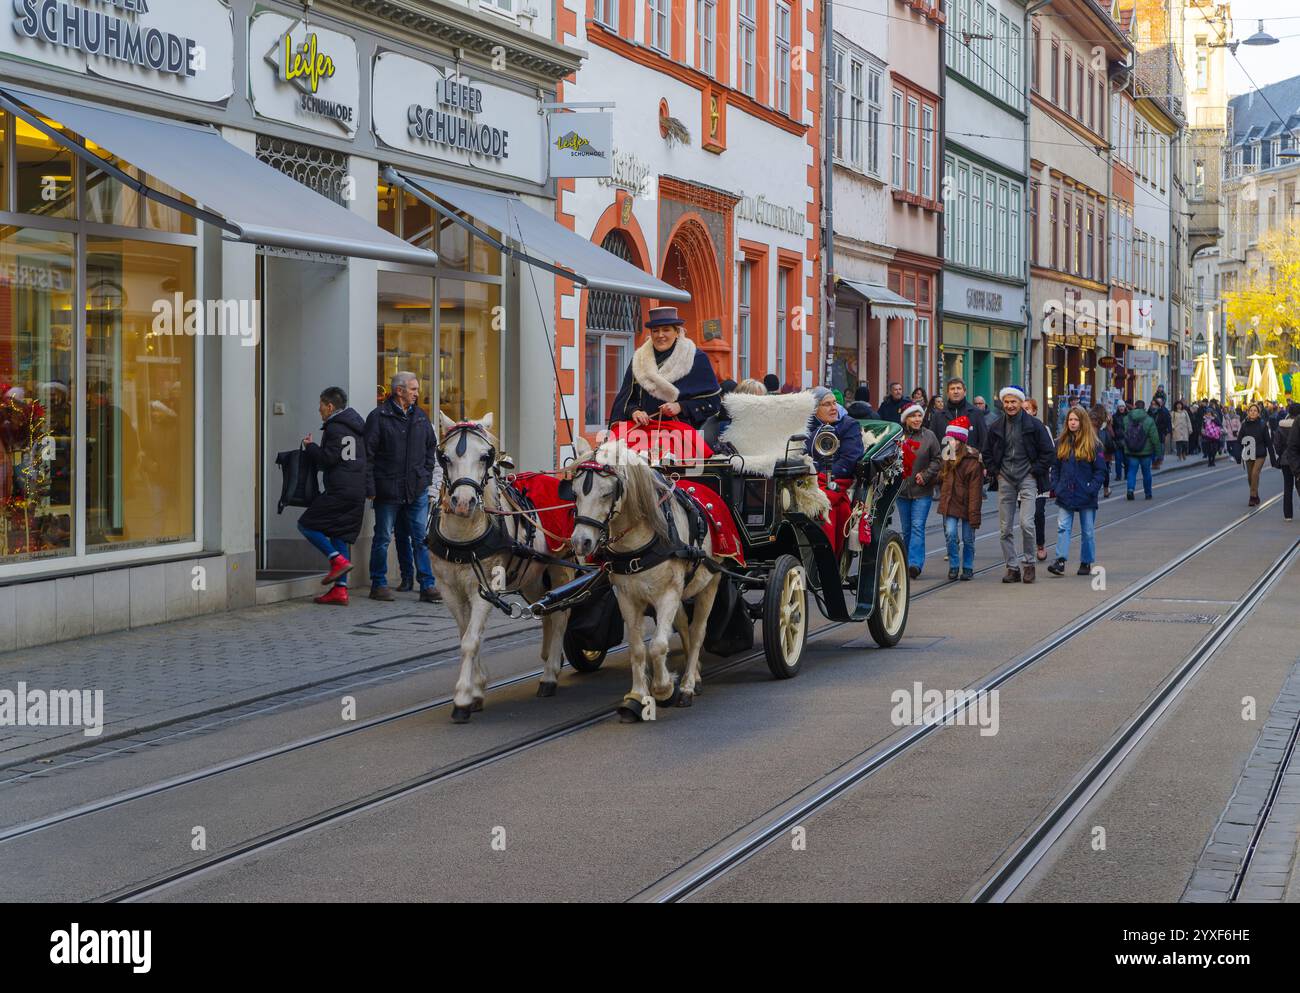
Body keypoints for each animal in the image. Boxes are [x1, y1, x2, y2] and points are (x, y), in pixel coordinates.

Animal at [428, 410, 572, 722]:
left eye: (485, 456)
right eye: (444, 457)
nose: (463, 502)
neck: (464, 538)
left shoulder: (484, 588)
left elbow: (471, 640)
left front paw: (463, 698)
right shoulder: (449, 589)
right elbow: (467, 635)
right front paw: (477, 687)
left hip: (560, 568)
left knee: (560, 616)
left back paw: (550, 674)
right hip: (533, 576)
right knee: (546, 612)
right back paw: (548, 659)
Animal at [566, 439, 717, 717]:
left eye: (607, 493)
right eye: (574, 493)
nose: (581, 542)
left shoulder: (668, 594)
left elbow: (657, 645)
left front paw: (664, 689)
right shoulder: (627, 598)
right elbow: (637, 649)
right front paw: (637, 696)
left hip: (711, 582)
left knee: (698, 631)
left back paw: (688, 685)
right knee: (683, 625)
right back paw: (697, 675)